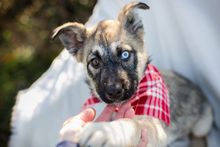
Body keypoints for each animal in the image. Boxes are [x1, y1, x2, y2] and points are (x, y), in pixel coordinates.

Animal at [52, 2, 213, 147]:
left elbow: (134, 123)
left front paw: (107, 131)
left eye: (125, 54)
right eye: (95, 62)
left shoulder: (154, 126)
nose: (114, 92)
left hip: (202, 125)